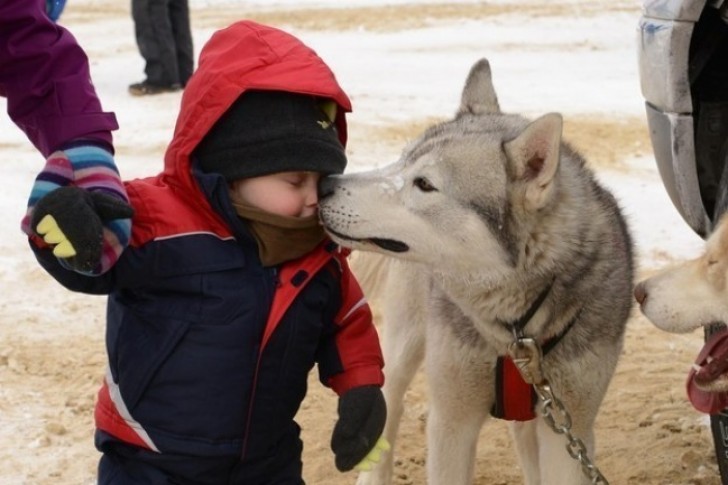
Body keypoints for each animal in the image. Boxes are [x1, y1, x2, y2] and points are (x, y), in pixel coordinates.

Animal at [318, 60, 632, 484]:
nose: (324, 184)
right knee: (389, 405)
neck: (515, 329)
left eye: (424, 184)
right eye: (401, 161)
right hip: (404, 346)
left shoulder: (569, 430)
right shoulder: (453, 419)